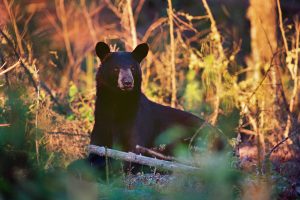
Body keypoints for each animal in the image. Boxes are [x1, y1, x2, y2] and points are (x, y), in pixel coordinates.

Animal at [88, 41, 203, 170]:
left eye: (132, 68)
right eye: (116, 68)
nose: (127, 82)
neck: (119, 102)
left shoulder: (136, 121)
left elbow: (132, 150)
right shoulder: (102, 121)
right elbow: (95, 149)